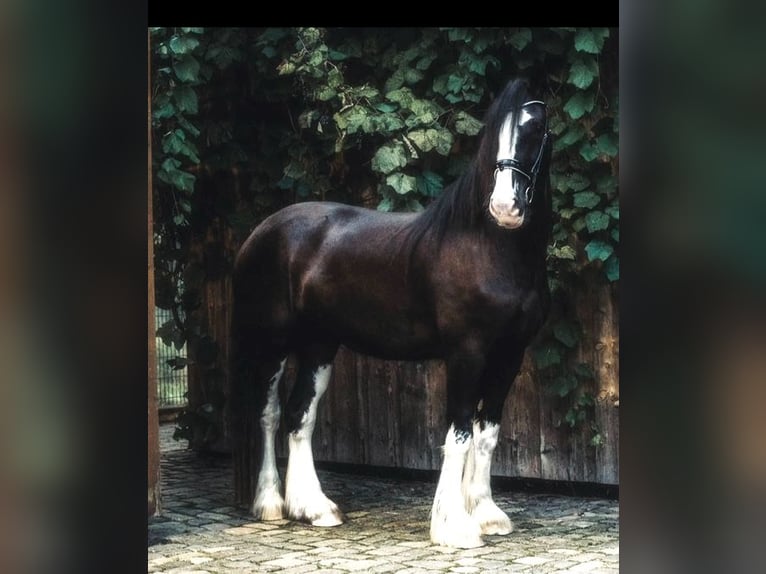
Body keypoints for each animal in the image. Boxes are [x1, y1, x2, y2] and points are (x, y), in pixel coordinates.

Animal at [231, 77, 556, 548]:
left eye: (535, 128)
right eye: (494, 133)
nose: (504, 208)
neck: (488, 248)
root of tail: (261, 231)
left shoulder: (509, 354)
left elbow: (487, 433)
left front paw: (486, 513)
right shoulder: (466, 352)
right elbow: (459, 433)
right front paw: (454, 526)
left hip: (319, 344)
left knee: (299, 416)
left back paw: (314, 509)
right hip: (273, 343)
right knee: (269, 413)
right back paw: (272, 504)